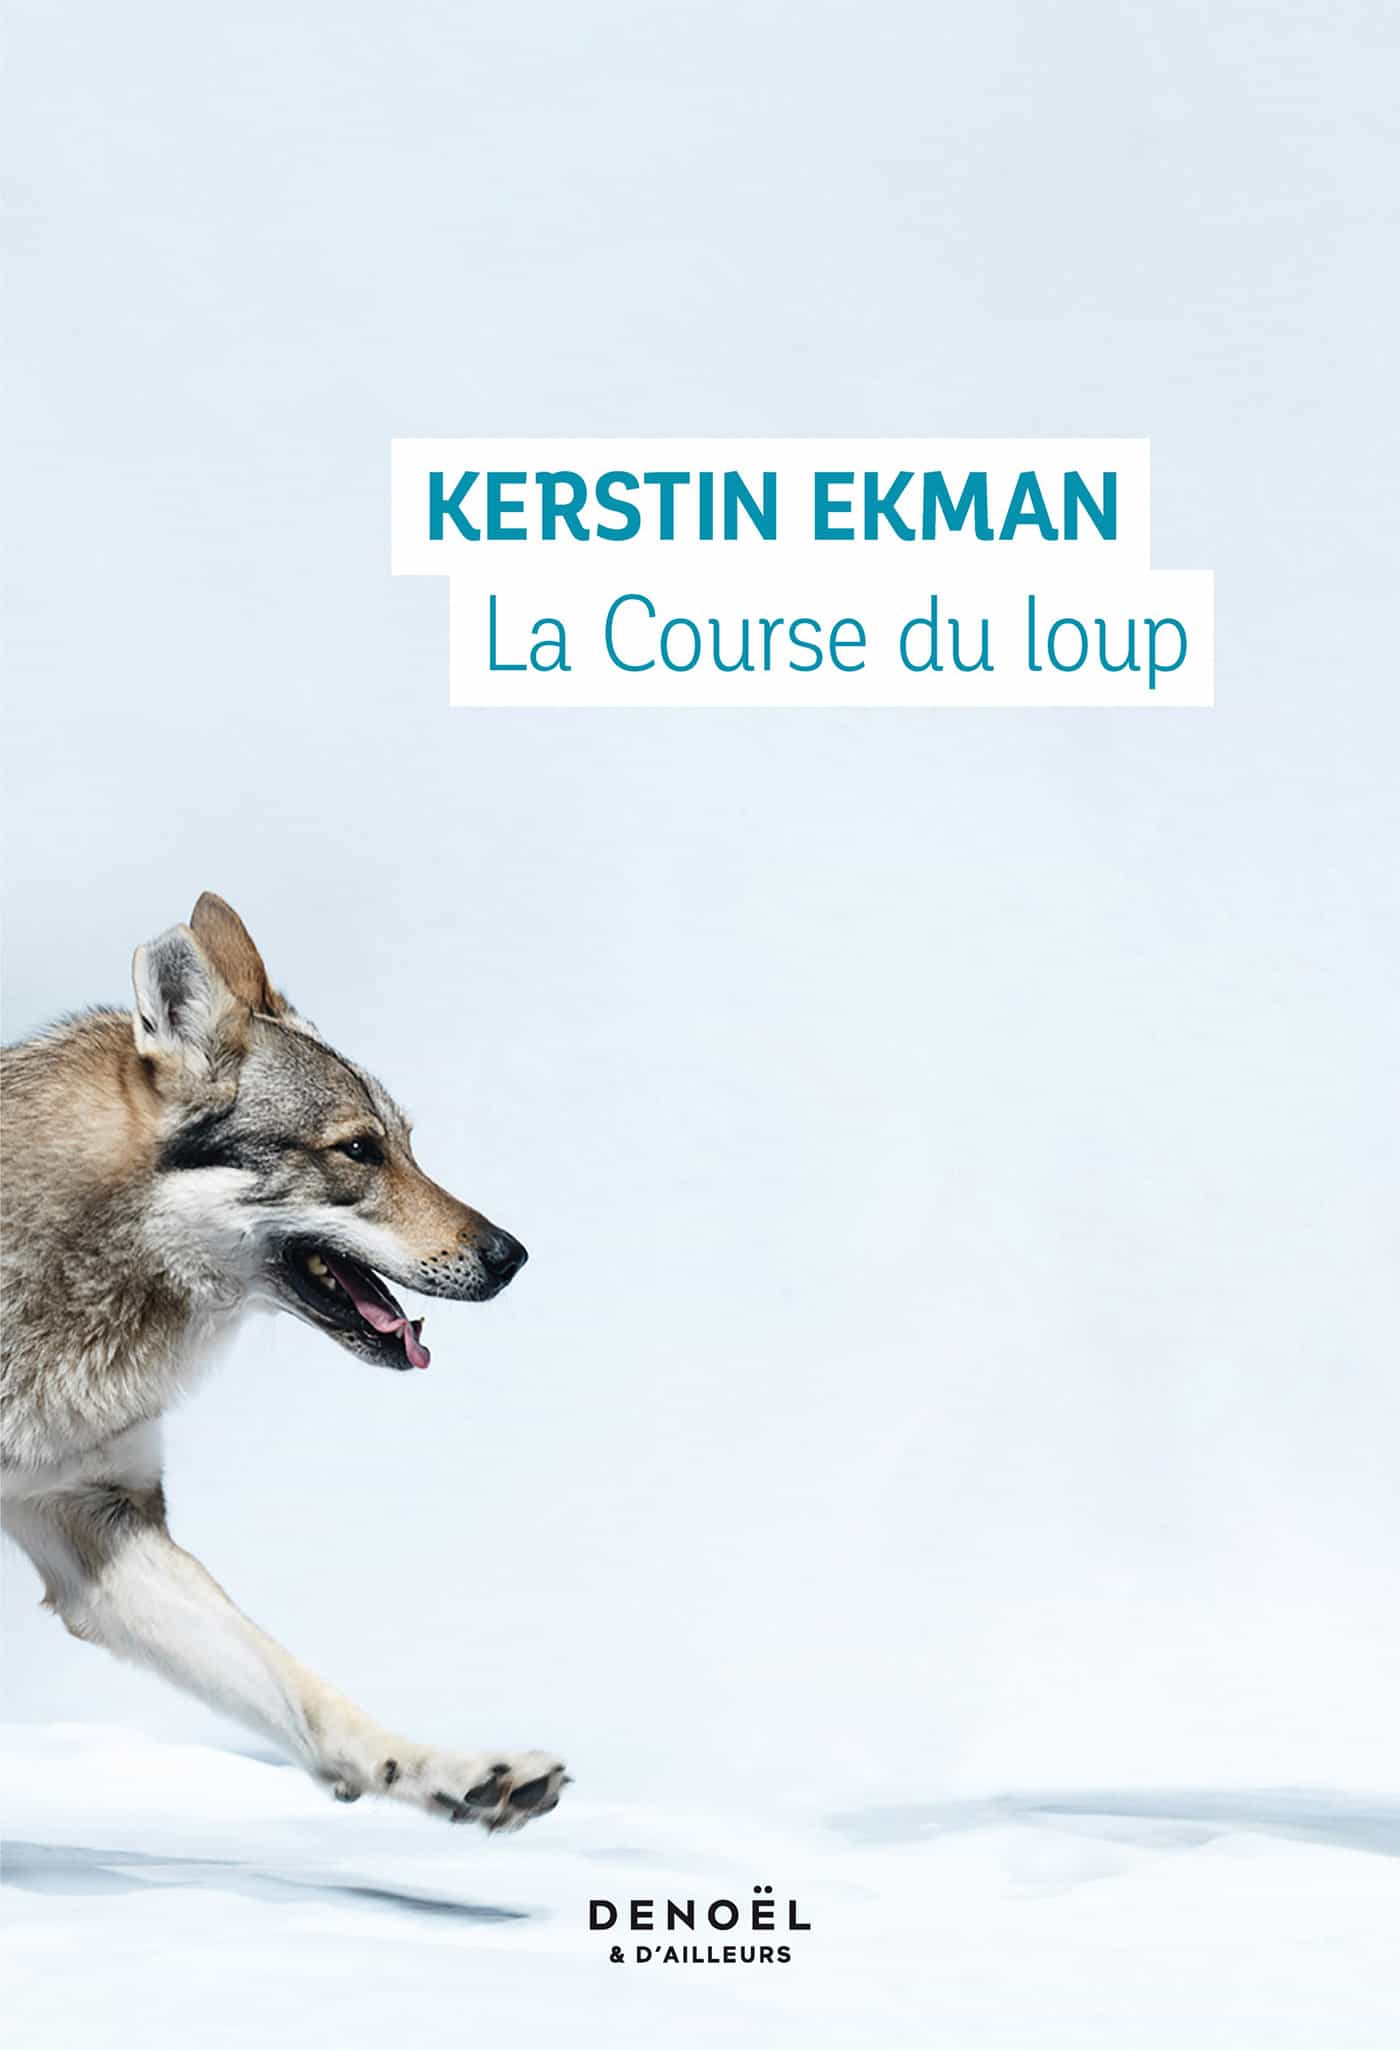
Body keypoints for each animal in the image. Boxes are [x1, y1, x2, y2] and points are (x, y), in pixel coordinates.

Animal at [1, 893, 567, 1830]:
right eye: (359, 1150)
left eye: (408, 1145)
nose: (511, 1256)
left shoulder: (99, 1522)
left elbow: (306, 1693)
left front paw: (444, 1770)